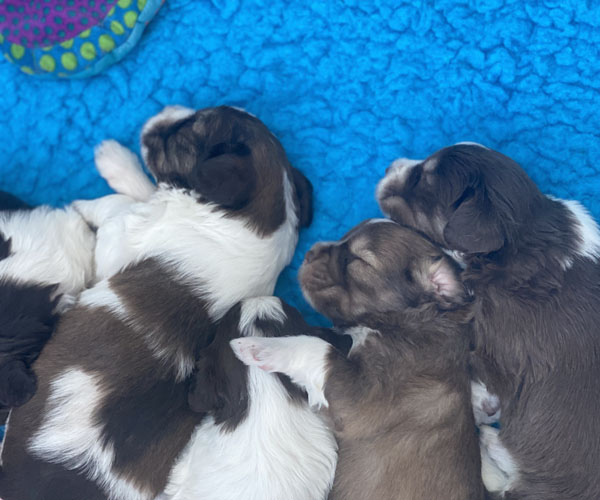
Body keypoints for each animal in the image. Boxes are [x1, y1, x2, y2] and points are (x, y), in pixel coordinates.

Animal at [0, 105, 314, 499]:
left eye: (182, 135)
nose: (162, 112)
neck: (253, 224)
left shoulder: (116, 246)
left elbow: (125, 205)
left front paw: (101, 178)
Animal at [232, 219, 485, 500]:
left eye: (357, 260)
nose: (310, 253)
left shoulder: (362, 397)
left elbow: (317, 349)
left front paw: (259, 346)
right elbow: (324, 339)